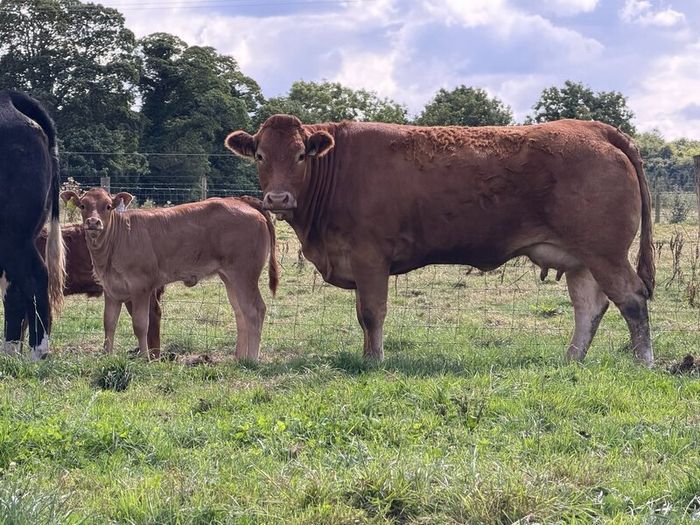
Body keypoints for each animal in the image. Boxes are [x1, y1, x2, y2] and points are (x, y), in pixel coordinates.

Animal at [59, 188, 279, 361]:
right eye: (82, 205)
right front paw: (107, 355)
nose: (93, 222)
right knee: (241, 312)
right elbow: (109, 323)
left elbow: (141, 324)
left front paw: (144, 358)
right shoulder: (111, 289)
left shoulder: (141, 286)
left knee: (255, 310)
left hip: (245, 274)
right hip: (230, 278)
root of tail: (241, 201)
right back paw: (239, 358)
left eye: (107, 206)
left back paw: (251, 359)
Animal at [225, 115, 655, 365]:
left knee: (632, 299)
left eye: (301, 155)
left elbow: (371, 313)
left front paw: (374, 361)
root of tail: (593, 128)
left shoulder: (370, 256)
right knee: (590, 307)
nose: (278, 199)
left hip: (605, 253)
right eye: (260, 155)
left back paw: (643, 362)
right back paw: (571, 359)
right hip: (581, 258)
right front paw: (368, 355)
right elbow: (364, 314)